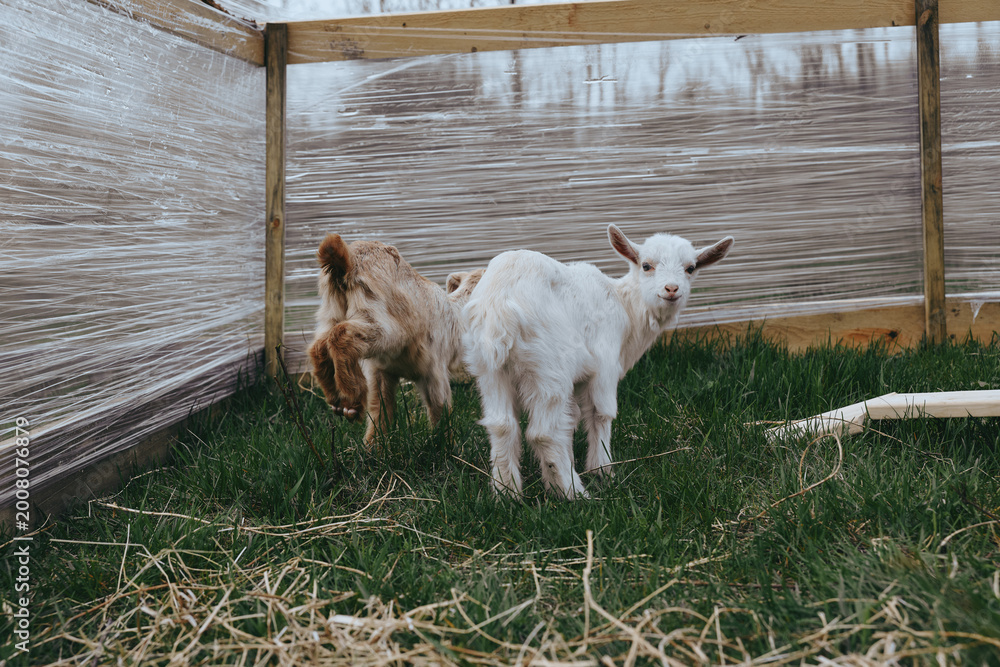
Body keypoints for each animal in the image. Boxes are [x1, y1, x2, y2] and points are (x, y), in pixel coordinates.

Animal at [308, 232, 483, 445]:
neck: (457, 313)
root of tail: (346, 259)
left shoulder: (382, 370)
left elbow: (380, 410)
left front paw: (374, 446)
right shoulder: (434, 369)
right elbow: (439, 408)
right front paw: (446, 444)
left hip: (331, 310)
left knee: (319, 345)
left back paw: (336, 398)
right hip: (386, 321)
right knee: (342, 335)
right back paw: (352, 399)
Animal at [463, 225, 733, 499]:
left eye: (691, 268)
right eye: (646, 265)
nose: (671, 289)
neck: (625, 306)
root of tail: (499, 307)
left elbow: (571, 420)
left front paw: (564, 473)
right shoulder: (605, 364)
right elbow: (600, 414)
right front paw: (603, 471)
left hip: (490, 368)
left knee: (502, 425)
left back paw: (507, 493)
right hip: (549, 367)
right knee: (544, 433)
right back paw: (574, 493)